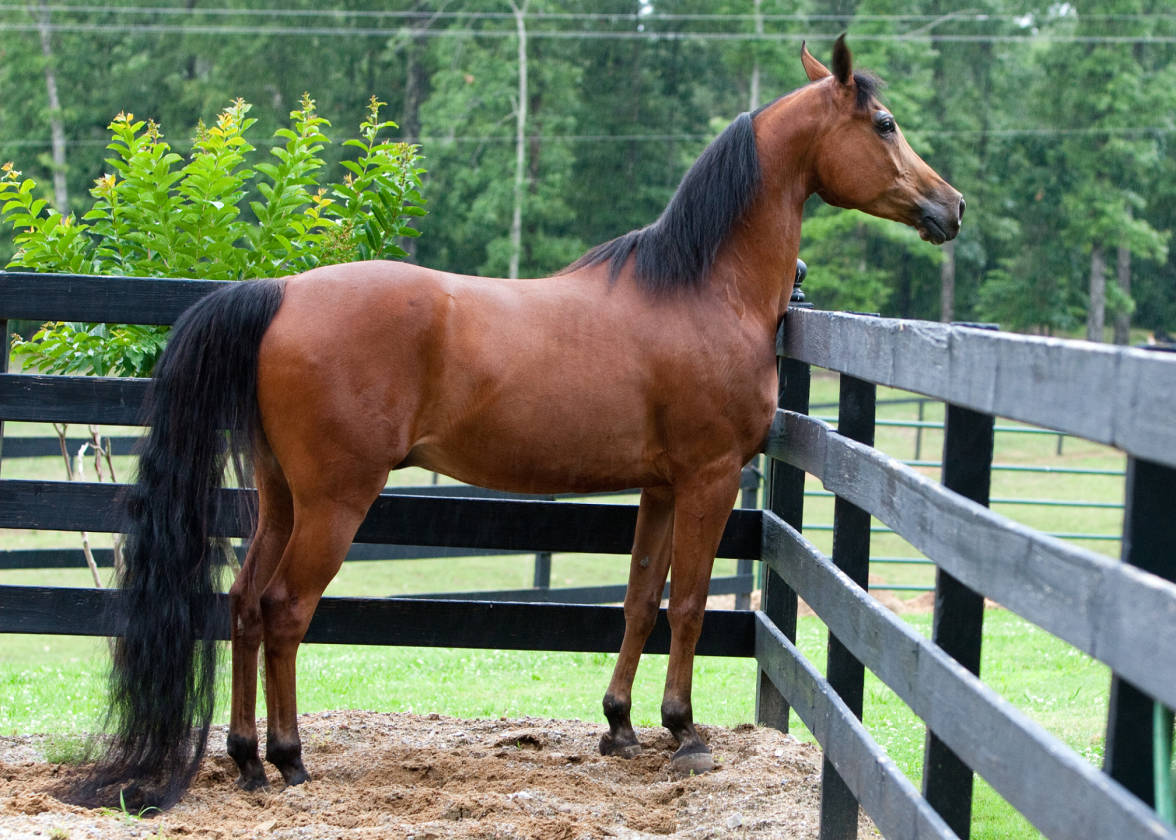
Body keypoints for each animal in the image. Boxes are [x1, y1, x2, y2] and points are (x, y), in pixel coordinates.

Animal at [72, 36, 962, 809]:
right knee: (286, 609)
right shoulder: (708, 479)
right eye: (884, 124)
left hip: (281, 498)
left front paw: (619, 727)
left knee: (245, 606)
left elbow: (640, 599)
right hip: (334, 501)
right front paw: (684, 732)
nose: (949, 206)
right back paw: (290, 760)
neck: (703, 290)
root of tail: (282, 293)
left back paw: (248, 760)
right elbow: (689, 604)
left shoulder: (660, 487)